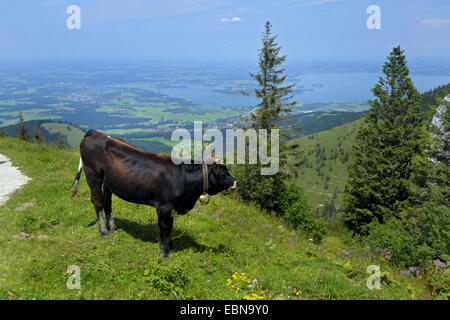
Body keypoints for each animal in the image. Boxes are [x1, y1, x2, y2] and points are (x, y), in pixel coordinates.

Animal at [70, 129, 237, 258]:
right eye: (222, 172)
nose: (235, 182)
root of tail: (96, 133)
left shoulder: (172, 208)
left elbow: (170, 228)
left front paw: (171, 248)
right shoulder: (163, 207)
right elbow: (163, 229)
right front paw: (163, 254)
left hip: (108, 182)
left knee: (107, 202)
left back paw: (114, 228)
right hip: (93, 175)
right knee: (97, 201)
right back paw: (104, 232)